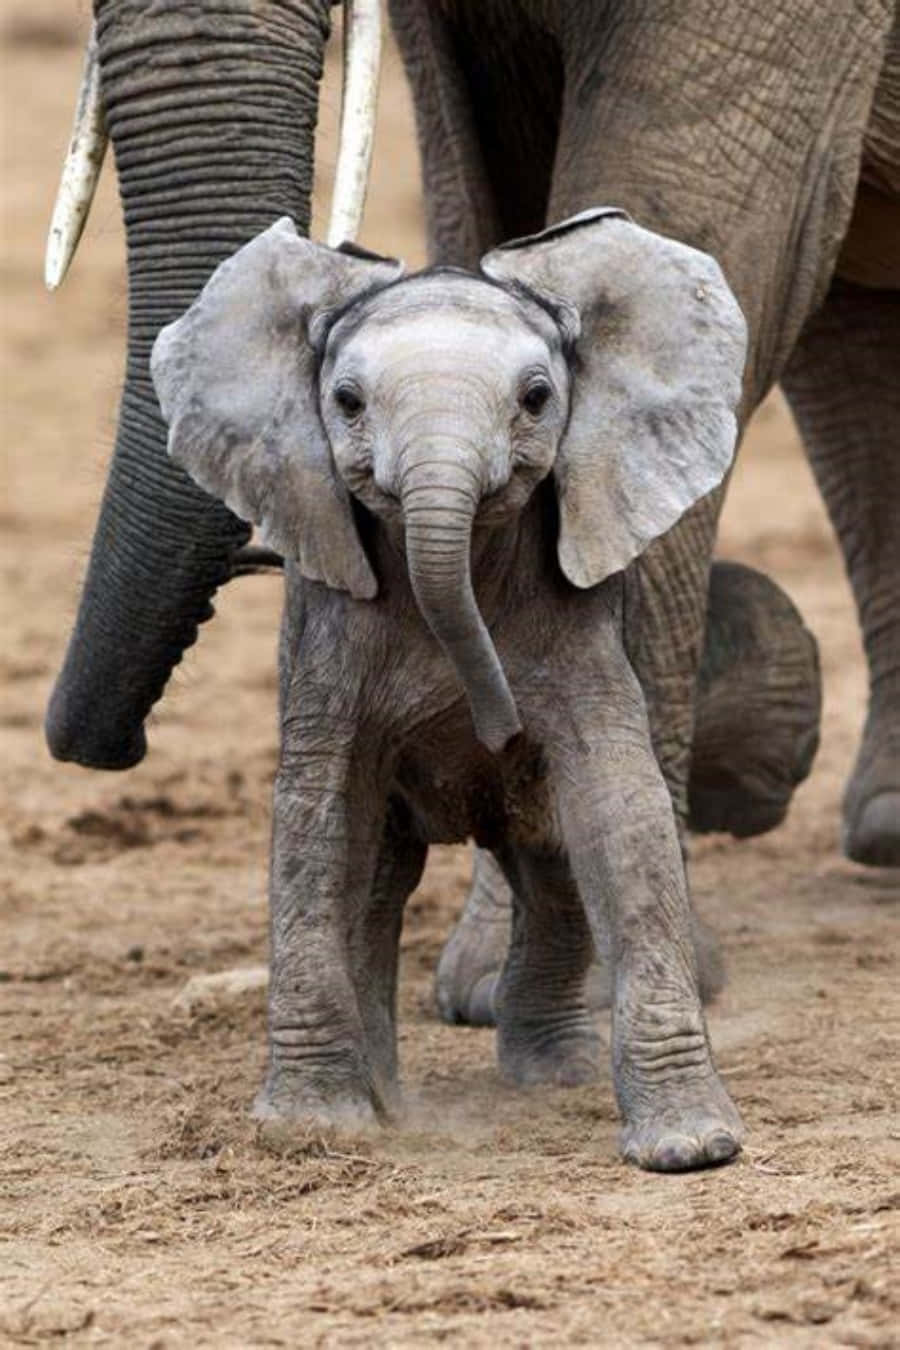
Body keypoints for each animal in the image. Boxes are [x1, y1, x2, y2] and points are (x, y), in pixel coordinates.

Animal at [149, 209, 759, 1170]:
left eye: (538, 397)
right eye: (347, 402)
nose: (495, 725)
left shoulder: (582, 621)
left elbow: (619, 809)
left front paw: (692, 1149)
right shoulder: (328, 635)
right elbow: (317, 823)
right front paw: (310, 1129)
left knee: (550, 868)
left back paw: (553, 1078)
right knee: (377, 884)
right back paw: (388, 1099)